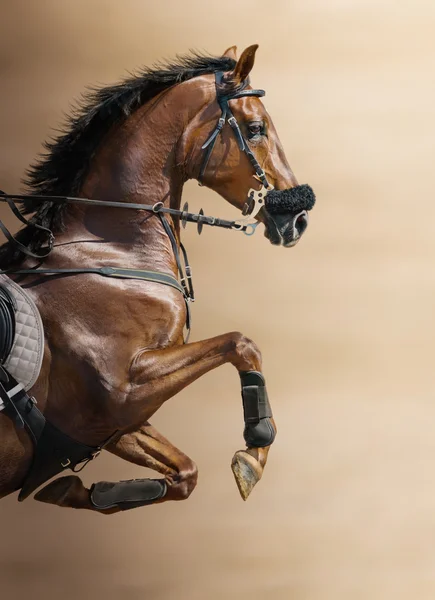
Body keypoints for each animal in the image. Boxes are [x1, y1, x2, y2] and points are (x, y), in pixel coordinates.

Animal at [0, 44, 316, 512]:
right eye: (256, 128)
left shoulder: (106, 425)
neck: (113, 248)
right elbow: (241, 343)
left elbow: (185, 474)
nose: (298, 220)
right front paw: (255, 447)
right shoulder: (123, 390)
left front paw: (71, 490)